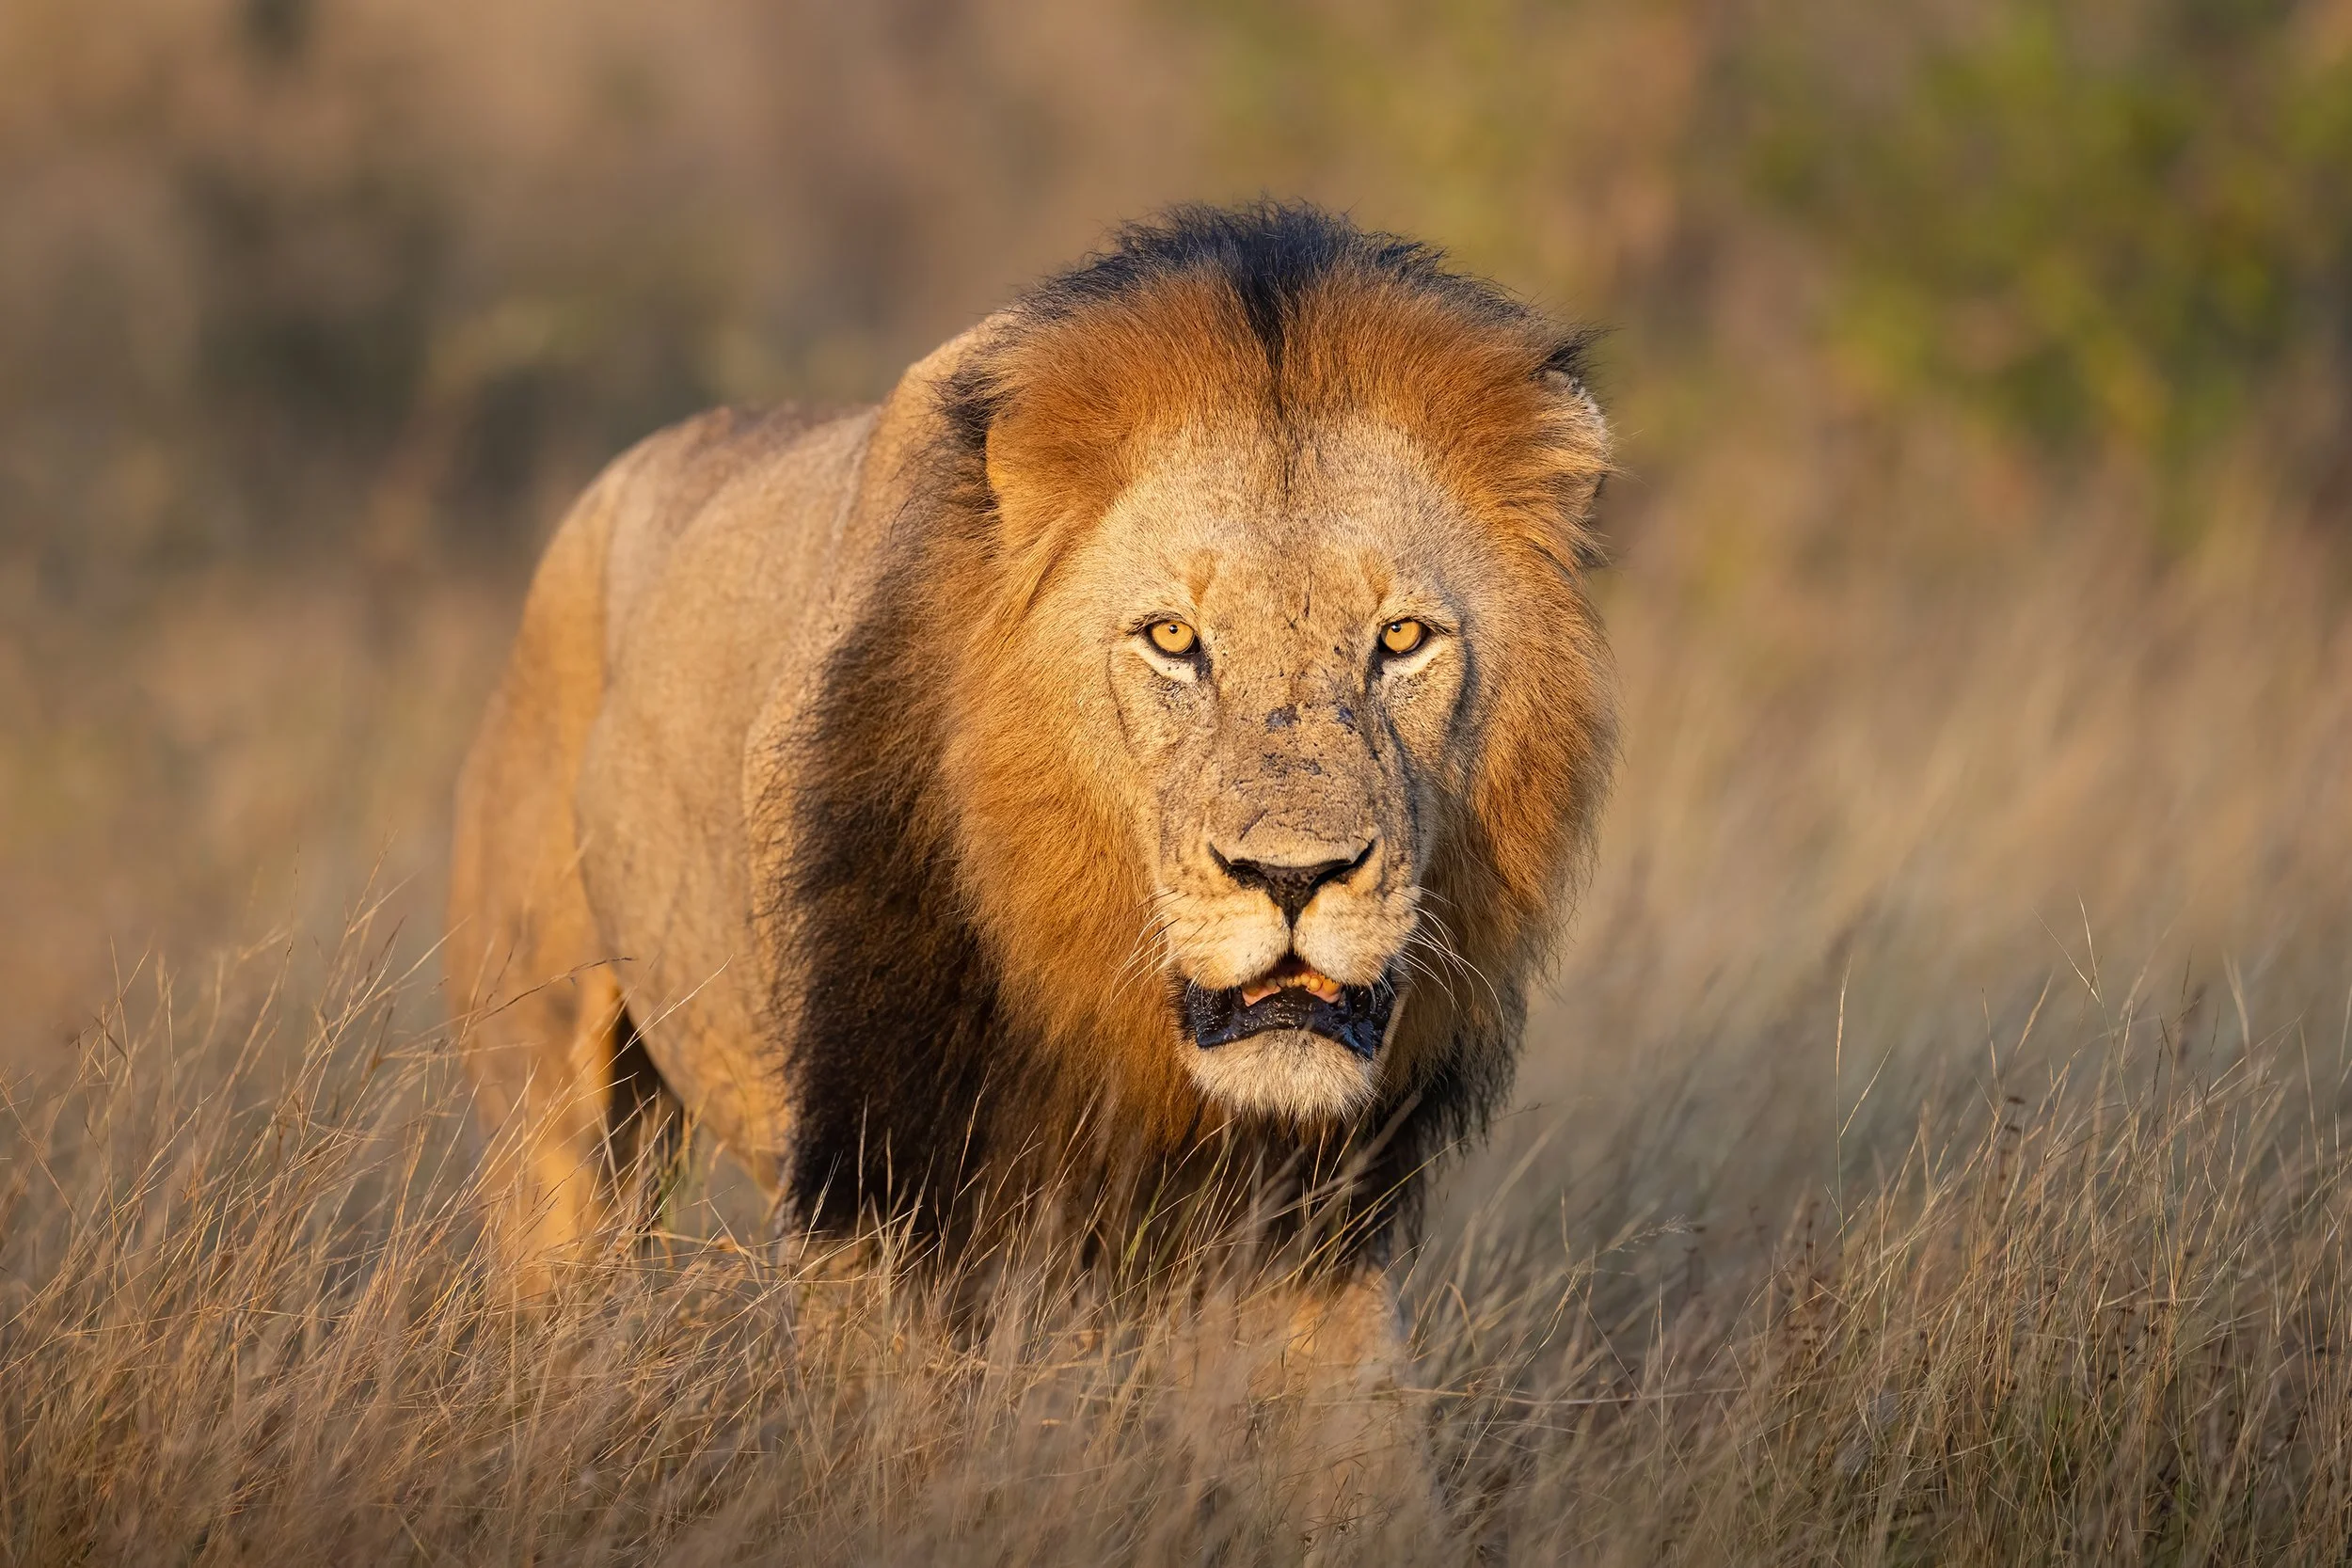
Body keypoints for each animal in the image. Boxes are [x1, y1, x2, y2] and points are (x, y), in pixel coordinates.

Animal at [448, 202, 1614, 1532]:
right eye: (1173, 639)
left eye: (1402, 639)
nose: (1291, 877)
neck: (1110, 1005)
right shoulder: (876, 1202)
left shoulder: (1292, 1237)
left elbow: (1364, 1486)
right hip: (552, 1104)